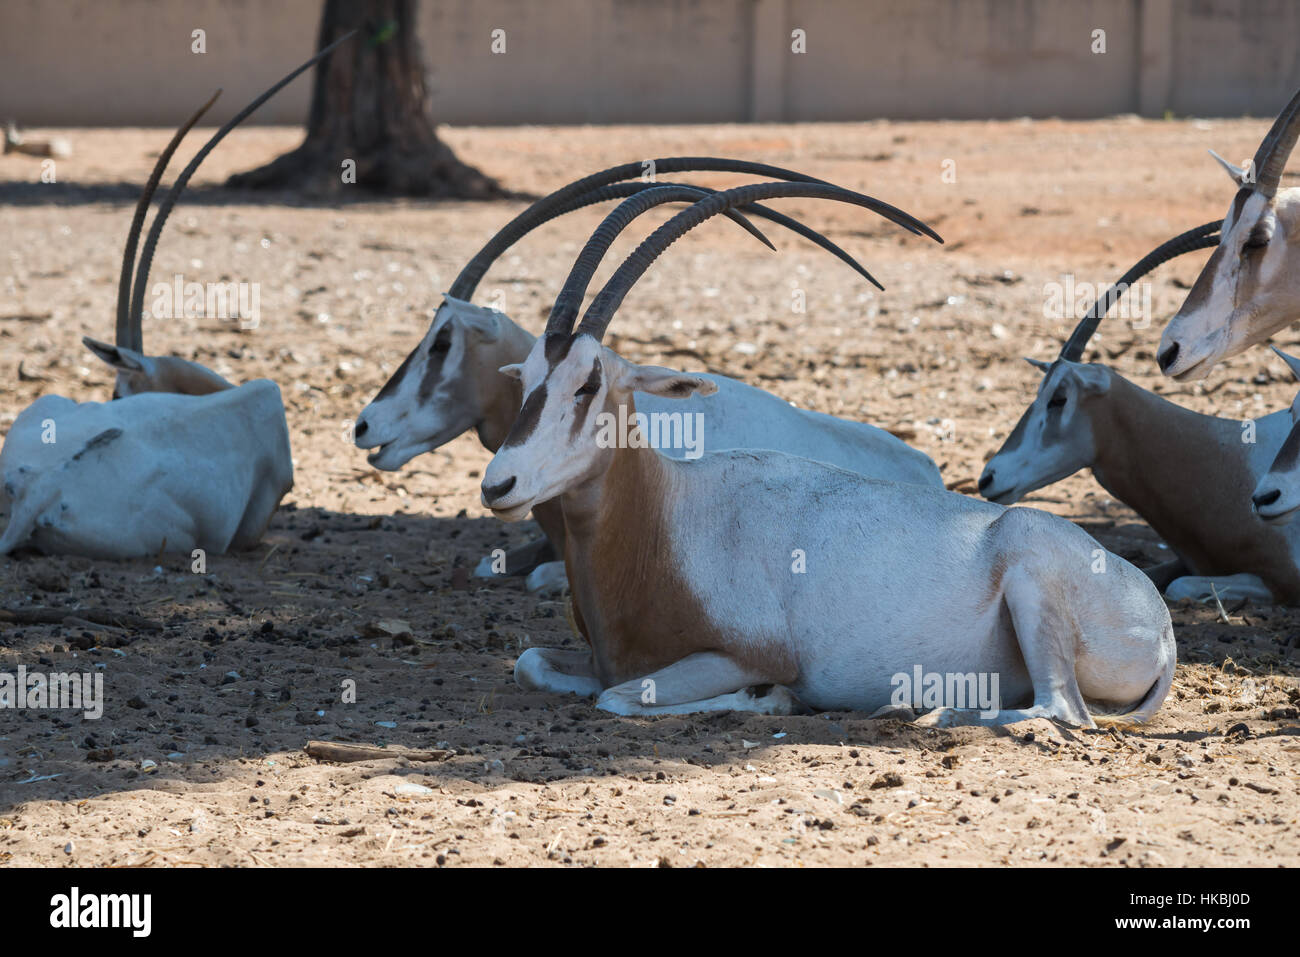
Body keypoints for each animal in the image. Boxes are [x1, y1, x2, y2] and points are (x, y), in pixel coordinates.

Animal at [483, 180, 1175, 722]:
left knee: (1060, 711)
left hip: (1031, 578)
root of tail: (1161, 623)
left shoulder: (750, 653)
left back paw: (929, 709)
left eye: (589, 382)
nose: (497, 485)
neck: (665, 516)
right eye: (526, 376)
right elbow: (528, 662)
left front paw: (770, 699)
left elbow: (620, 697)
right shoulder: (597, 657)